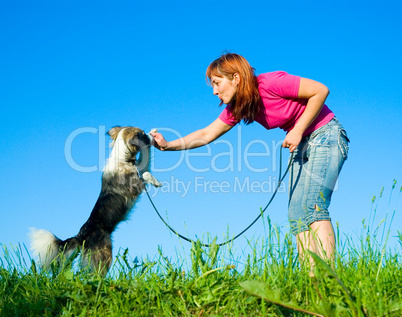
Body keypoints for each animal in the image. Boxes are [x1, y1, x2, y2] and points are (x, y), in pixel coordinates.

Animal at [30, 126, 162, 274]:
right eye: (143, 135)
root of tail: (81, 235)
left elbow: (146, 163)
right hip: (103, 254)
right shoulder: (135, 187)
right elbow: (145, 174)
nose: (152, 135)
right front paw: (156, 182)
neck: (122, 159)